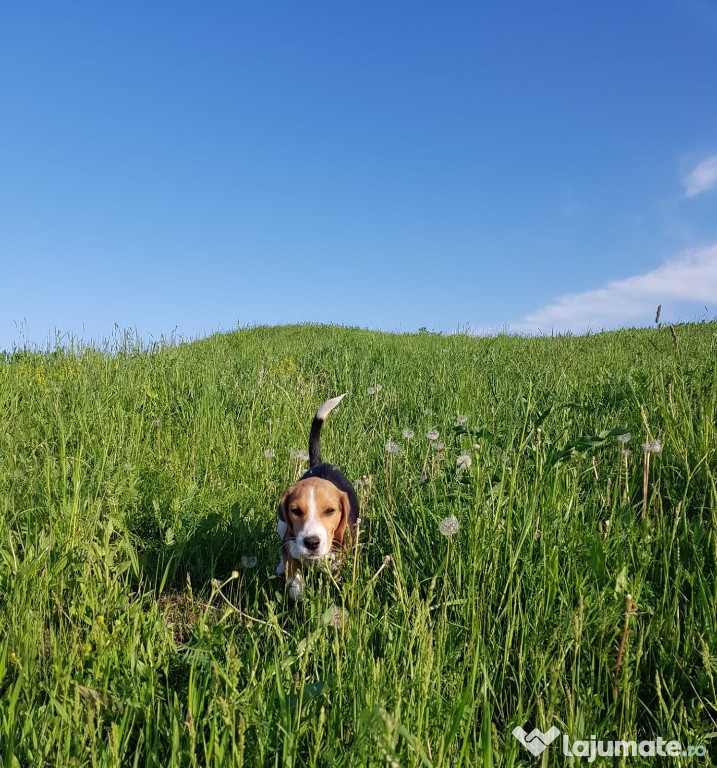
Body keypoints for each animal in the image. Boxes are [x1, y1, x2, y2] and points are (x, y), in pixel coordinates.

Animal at [278, 396, 360, 600]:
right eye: (296, 511)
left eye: (330, 511)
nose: (311, 542)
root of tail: (320, 463)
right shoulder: (291, 545)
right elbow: (293, 575)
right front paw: (298, 591)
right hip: (281, 524)